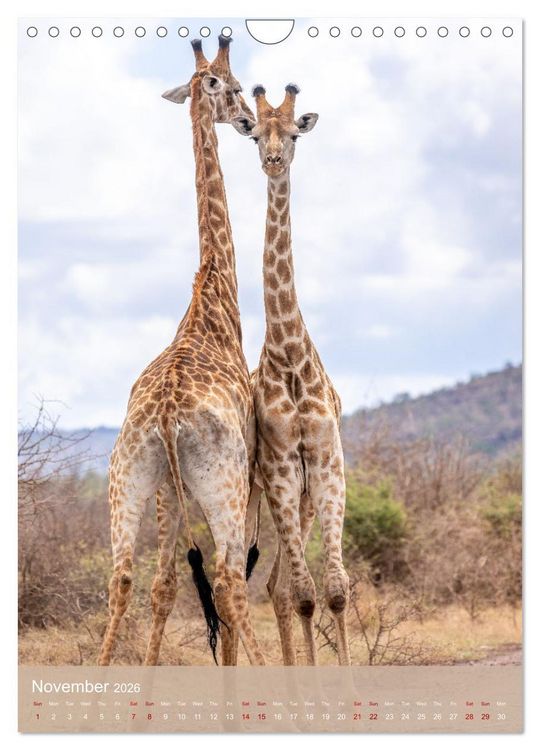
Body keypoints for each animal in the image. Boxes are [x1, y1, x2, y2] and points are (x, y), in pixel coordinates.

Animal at [98, 36, 265, 668]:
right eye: (233, 85)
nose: (248, 123)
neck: (212, 301)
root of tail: (167, 416)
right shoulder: (248, 462)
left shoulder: (169, 491)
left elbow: (164, 584)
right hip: (220, 480)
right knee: (229, 579)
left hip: (130, 476)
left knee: (126, 577)